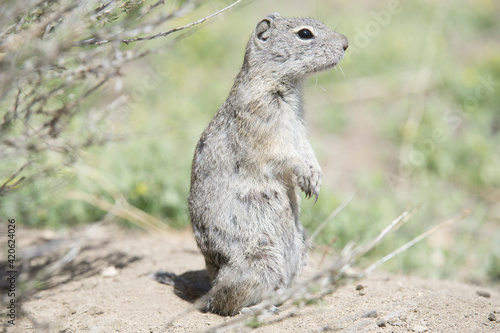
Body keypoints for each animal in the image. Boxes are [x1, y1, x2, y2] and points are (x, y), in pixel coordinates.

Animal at [174, 11, 346, 316]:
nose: (346, 43)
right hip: (261, 260)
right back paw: (255, 310)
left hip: (300, 247)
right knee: (223, 305)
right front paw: (307, 178)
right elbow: (283, 156)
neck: (287, 89)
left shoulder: (299, 130)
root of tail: (209, 289)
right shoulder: (261, 128)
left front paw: (316, 176)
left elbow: (306, 150)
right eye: (305, 34)